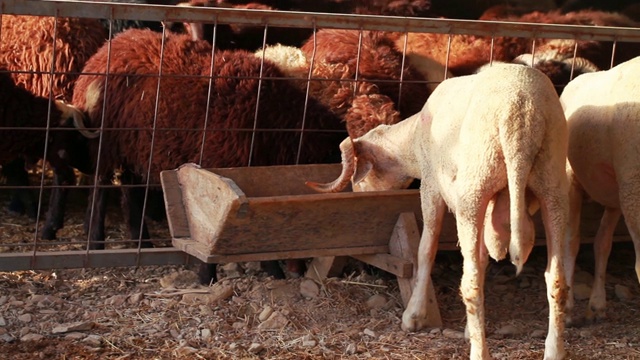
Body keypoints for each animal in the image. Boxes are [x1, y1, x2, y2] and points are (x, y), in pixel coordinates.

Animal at [308, 63, 568, 358]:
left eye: (358, 179)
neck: (411, 142)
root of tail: (521, 116)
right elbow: (480, 259)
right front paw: (470, 329)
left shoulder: (431, 185)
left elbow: (426, 249)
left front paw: (414, 315)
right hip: (553, 184)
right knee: (556, 279)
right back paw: (554, 350)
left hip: (474, 189)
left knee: (470, 283)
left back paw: (479, 351)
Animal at [560, 57, 640, 324]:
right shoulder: (633, 183)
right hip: (572, 179)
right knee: (571, 242)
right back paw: (568, 308)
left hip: (616, 194)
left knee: (602, 242)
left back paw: (597, 305)